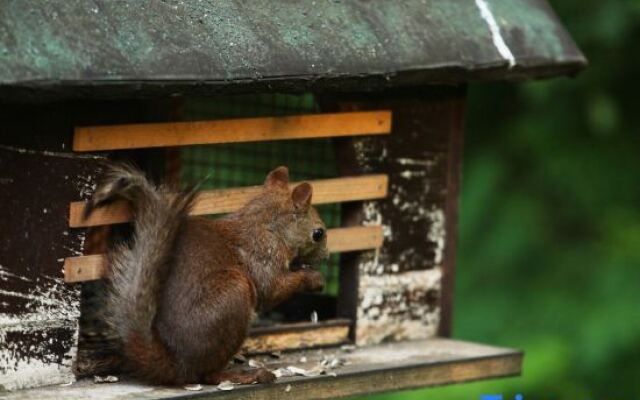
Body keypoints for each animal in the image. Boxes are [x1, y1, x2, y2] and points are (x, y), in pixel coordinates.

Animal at [82, 164, 328, 386]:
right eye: (318, 233)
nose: (326, 256)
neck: (268, 226)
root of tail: (176, 365)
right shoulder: (264, 255)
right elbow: (273, 288)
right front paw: (313, 278)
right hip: (234, 294)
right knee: (207, 376)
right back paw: (245, 376)